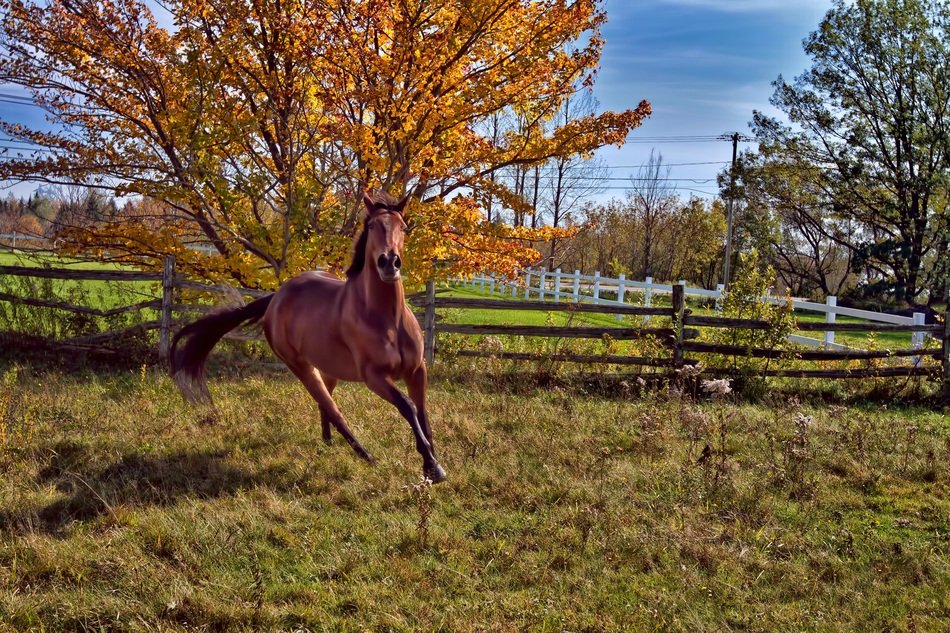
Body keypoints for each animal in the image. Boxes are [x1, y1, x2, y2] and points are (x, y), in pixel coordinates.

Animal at [169, 190, 446, 483]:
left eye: (402, 227)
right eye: (372, 226)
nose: (389, 264)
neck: (387, 318)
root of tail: (277, 297)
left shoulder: (417, 370)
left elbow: (423, 413)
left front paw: (432, 464)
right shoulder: (374, 377)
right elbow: (408, 406)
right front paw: (432, 467)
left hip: (328, 367)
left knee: (327, 405)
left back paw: (329, 443)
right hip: (300, 366)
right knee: (333, 409)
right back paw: (366, 456)